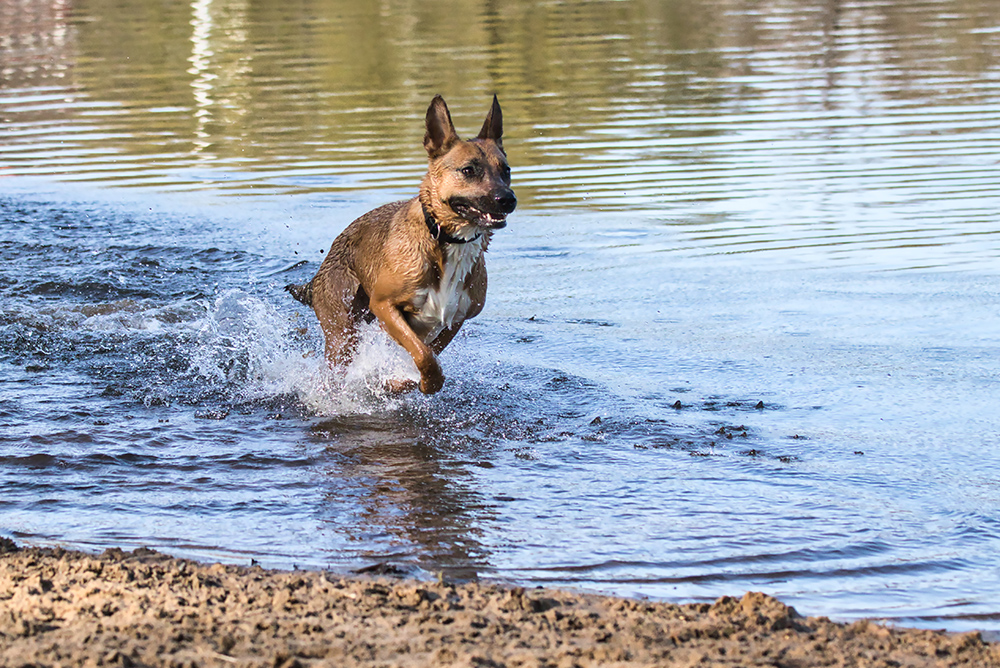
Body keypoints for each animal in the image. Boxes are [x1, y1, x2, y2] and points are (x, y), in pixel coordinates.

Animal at [284, 96, 512, 394]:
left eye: (506, 171)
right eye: (468, 170)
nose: (508, 199)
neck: (443, 239)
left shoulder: (456, 318)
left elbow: (428, 352)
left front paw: (404, 381)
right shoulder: (384, 305)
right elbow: (424, 355)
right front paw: (422, 382)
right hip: (341, 332)